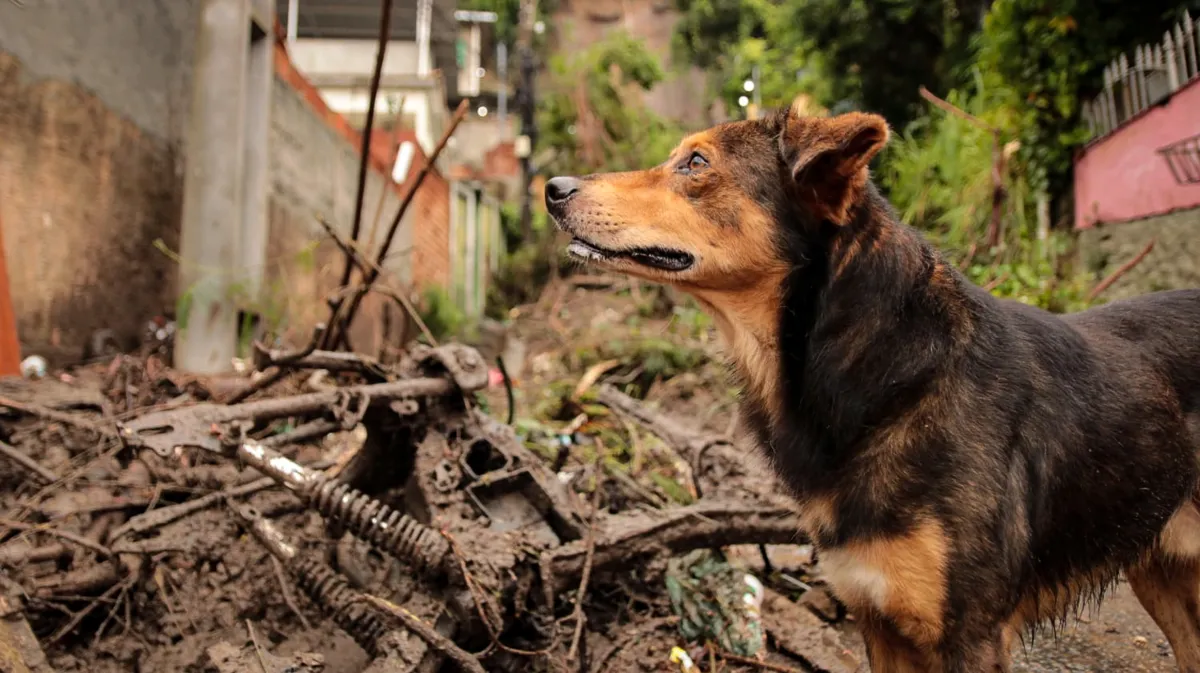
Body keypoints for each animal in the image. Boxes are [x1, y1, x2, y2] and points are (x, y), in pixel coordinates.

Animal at [547, 100, 1200, 671]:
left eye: (696, 163)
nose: (552, 188)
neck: (879, 370)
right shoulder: (878, 622)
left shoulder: (972, 636)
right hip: (1163, 574)